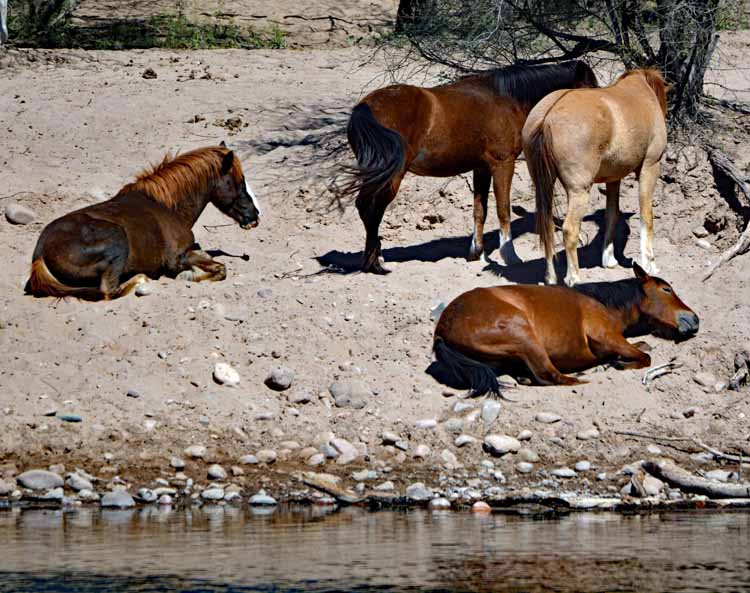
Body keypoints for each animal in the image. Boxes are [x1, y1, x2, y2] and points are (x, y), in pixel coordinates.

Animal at [27, 144, 262, 300]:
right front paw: (188, 276)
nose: (254, 216)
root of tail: (40, 252)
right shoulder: (177, 258)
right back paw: (141, 278)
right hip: (117, 241)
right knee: (109, 291)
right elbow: (220, 268)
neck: (167, 205)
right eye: (239, 183)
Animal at [340, 60, 600, 272]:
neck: (507, 98)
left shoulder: (481, 168)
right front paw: (510, 256)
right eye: (590, 87)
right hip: (391, 176)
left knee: (366, 207)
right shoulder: (503, 164)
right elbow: (503, 210)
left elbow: (479, 211)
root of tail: (365, 107)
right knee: (372, 209)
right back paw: (375, 263)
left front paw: (477, 253)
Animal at [434, 262, 700, 394]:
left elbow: (642, 347)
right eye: (667, 290)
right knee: (551, 376)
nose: (695, 319)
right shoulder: (607, 336)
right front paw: (618, 364)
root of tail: (443, 328)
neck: (602, 302)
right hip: (524, 336)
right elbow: (645, 356)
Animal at [524, 68, 668, 286]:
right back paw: (574, 278)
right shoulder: (650, 167)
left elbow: (612, 214)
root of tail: (547, 118)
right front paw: (649, 264)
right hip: (579, 191)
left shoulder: (613, 178)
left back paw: (550, 278)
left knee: (547, 227)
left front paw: (609, 259)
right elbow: (646, 216)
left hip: (544, 187)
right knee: (569, 229)